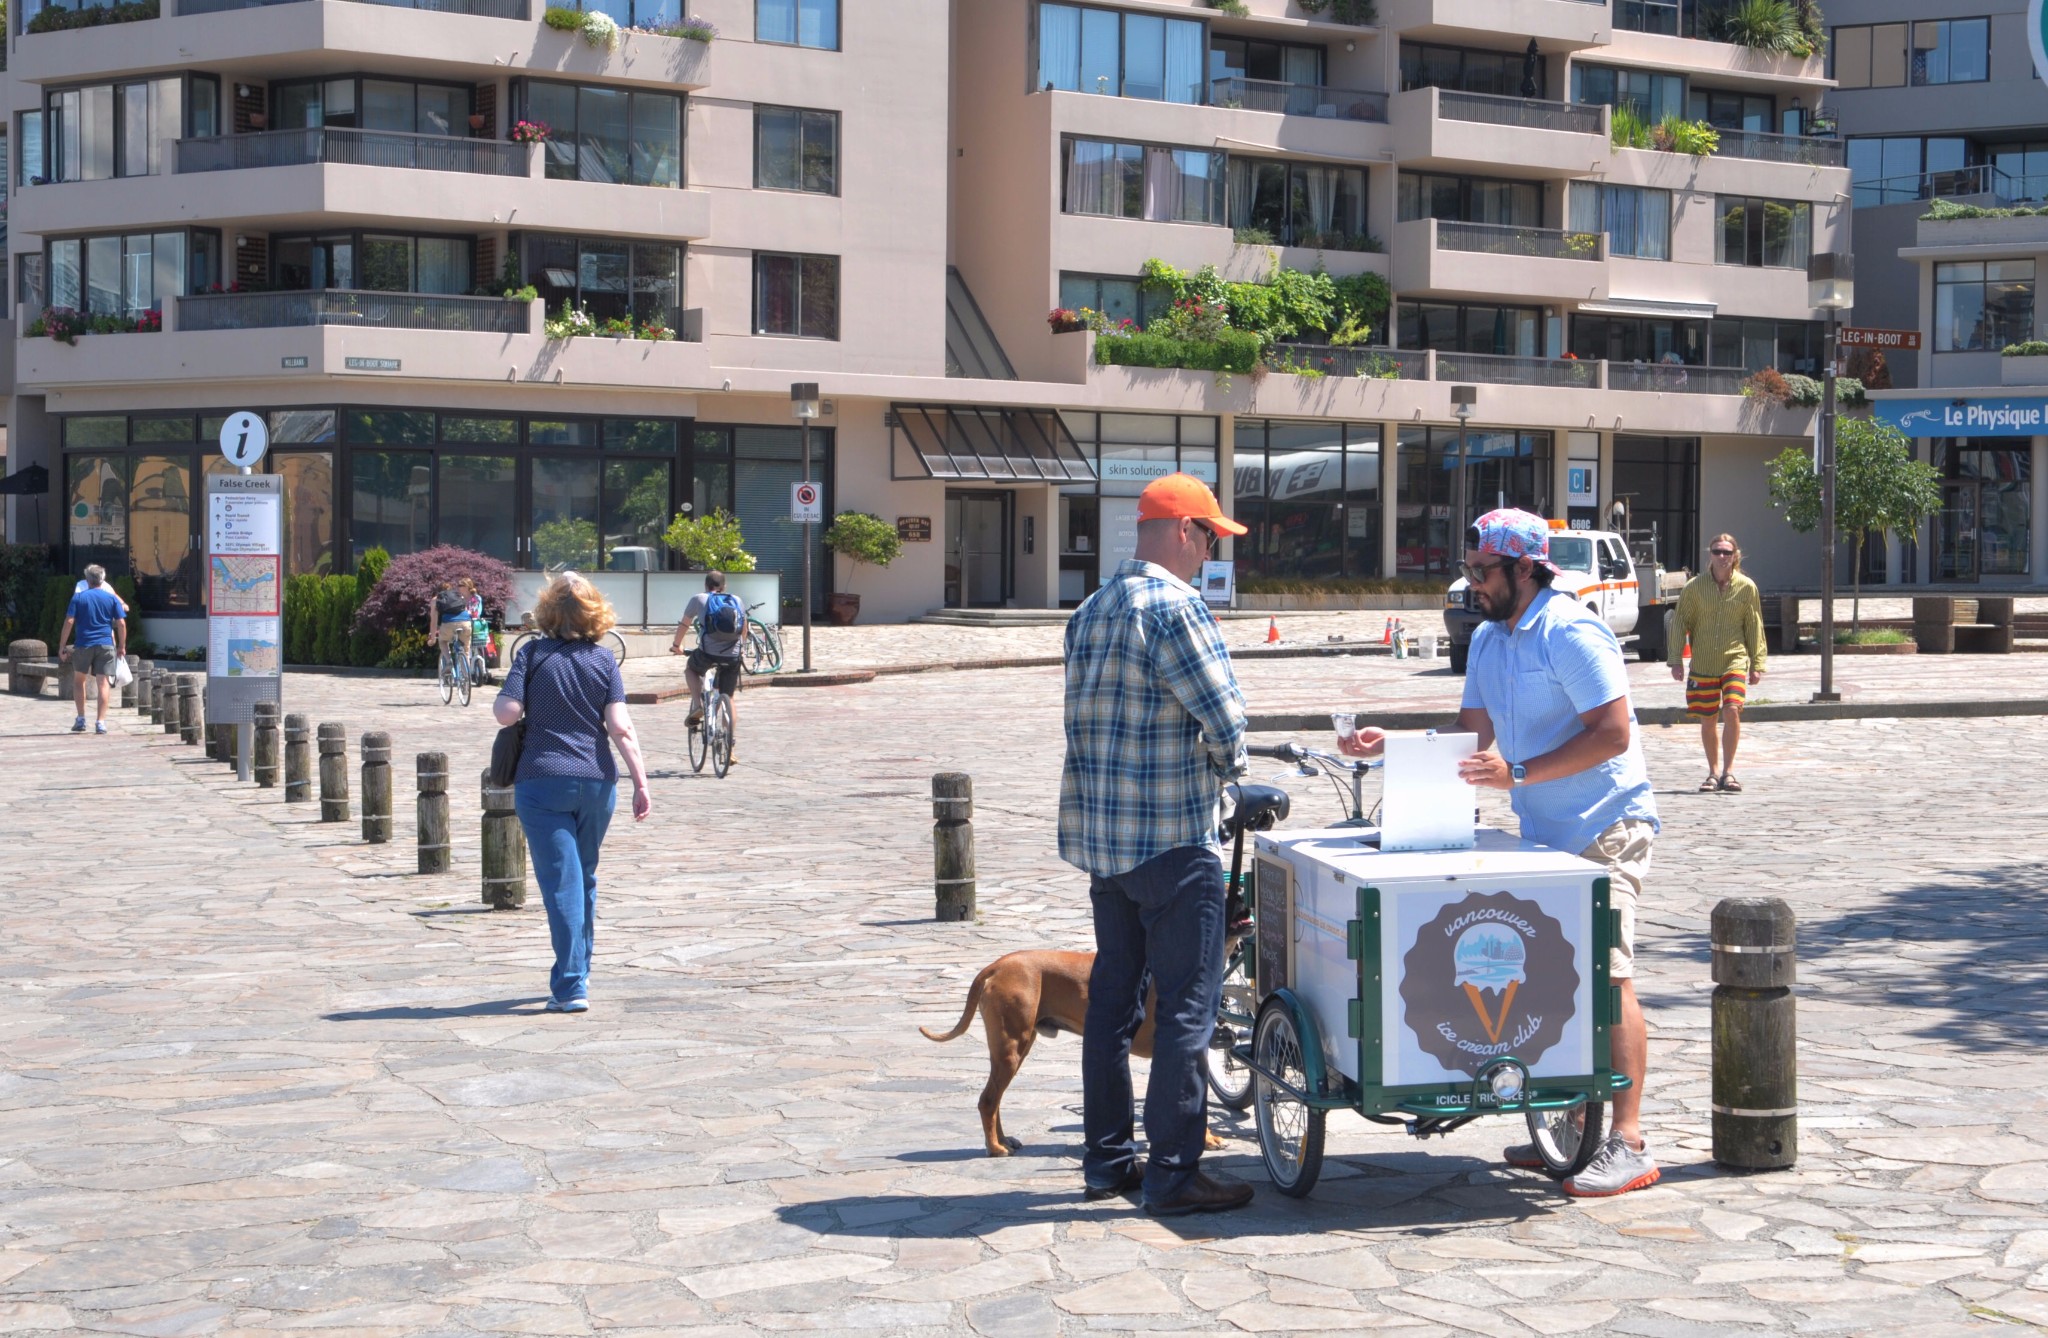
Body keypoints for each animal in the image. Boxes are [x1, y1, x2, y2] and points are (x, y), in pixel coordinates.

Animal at [920, 947, 1240, 1158]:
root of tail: (997, 965)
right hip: (1012, 1047)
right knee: (988, 1100)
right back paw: (995, 1147)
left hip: (1010, 1049)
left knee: (994, 1099)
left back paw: (1004, 1140)